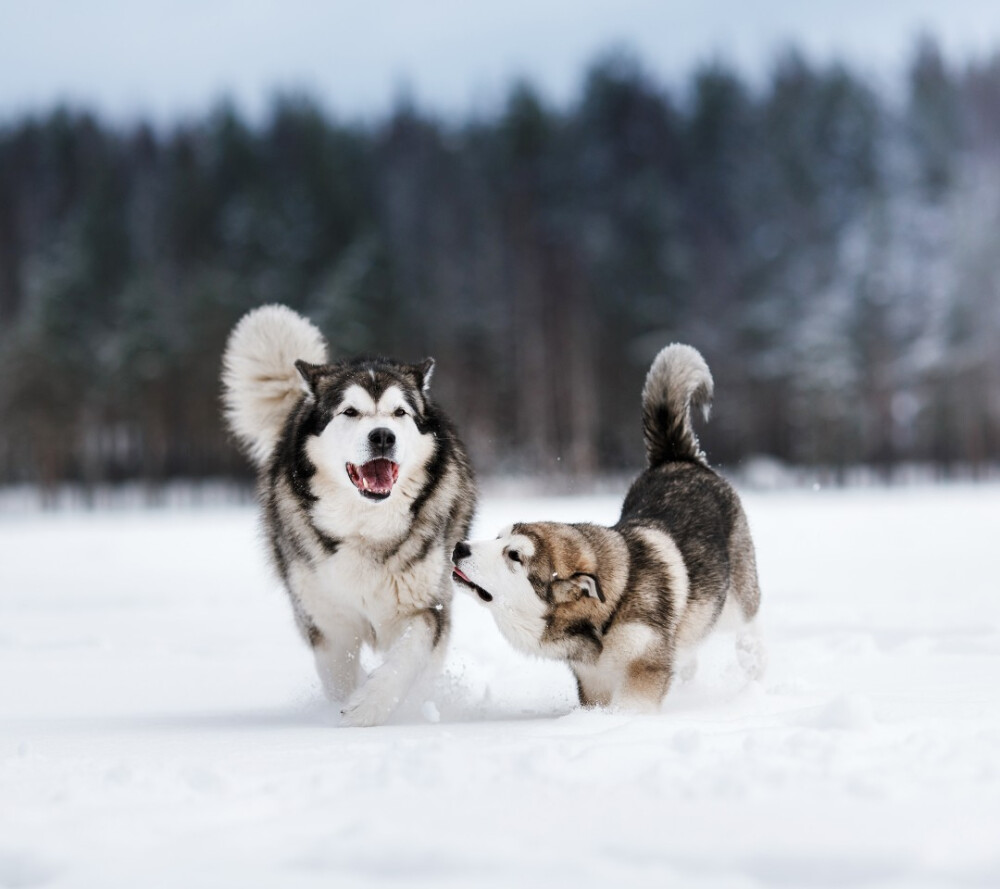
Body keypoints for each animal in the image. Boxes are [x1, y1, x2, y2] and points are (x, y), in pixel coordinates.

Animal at [223, 308, 476, 724]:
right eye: (350, 412)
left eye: (399, 412)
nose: (383, 436)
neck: (366, 527)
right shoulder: (328, 623)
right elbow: (339, 675)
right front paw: (346, 708)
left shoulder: (428, 605)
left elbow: (408, 657)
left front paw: (369, 707)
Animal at [450, 344, 760, 712]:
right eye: (498, 537)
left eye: (514, 556)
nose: (459, 547)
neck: (608, 615)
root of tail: (676, 458)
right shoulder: (592, 682)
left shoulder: (644, 670)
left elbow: (631, 707)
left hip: (735, 602)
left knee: (750, 633)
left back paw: (755, 675)